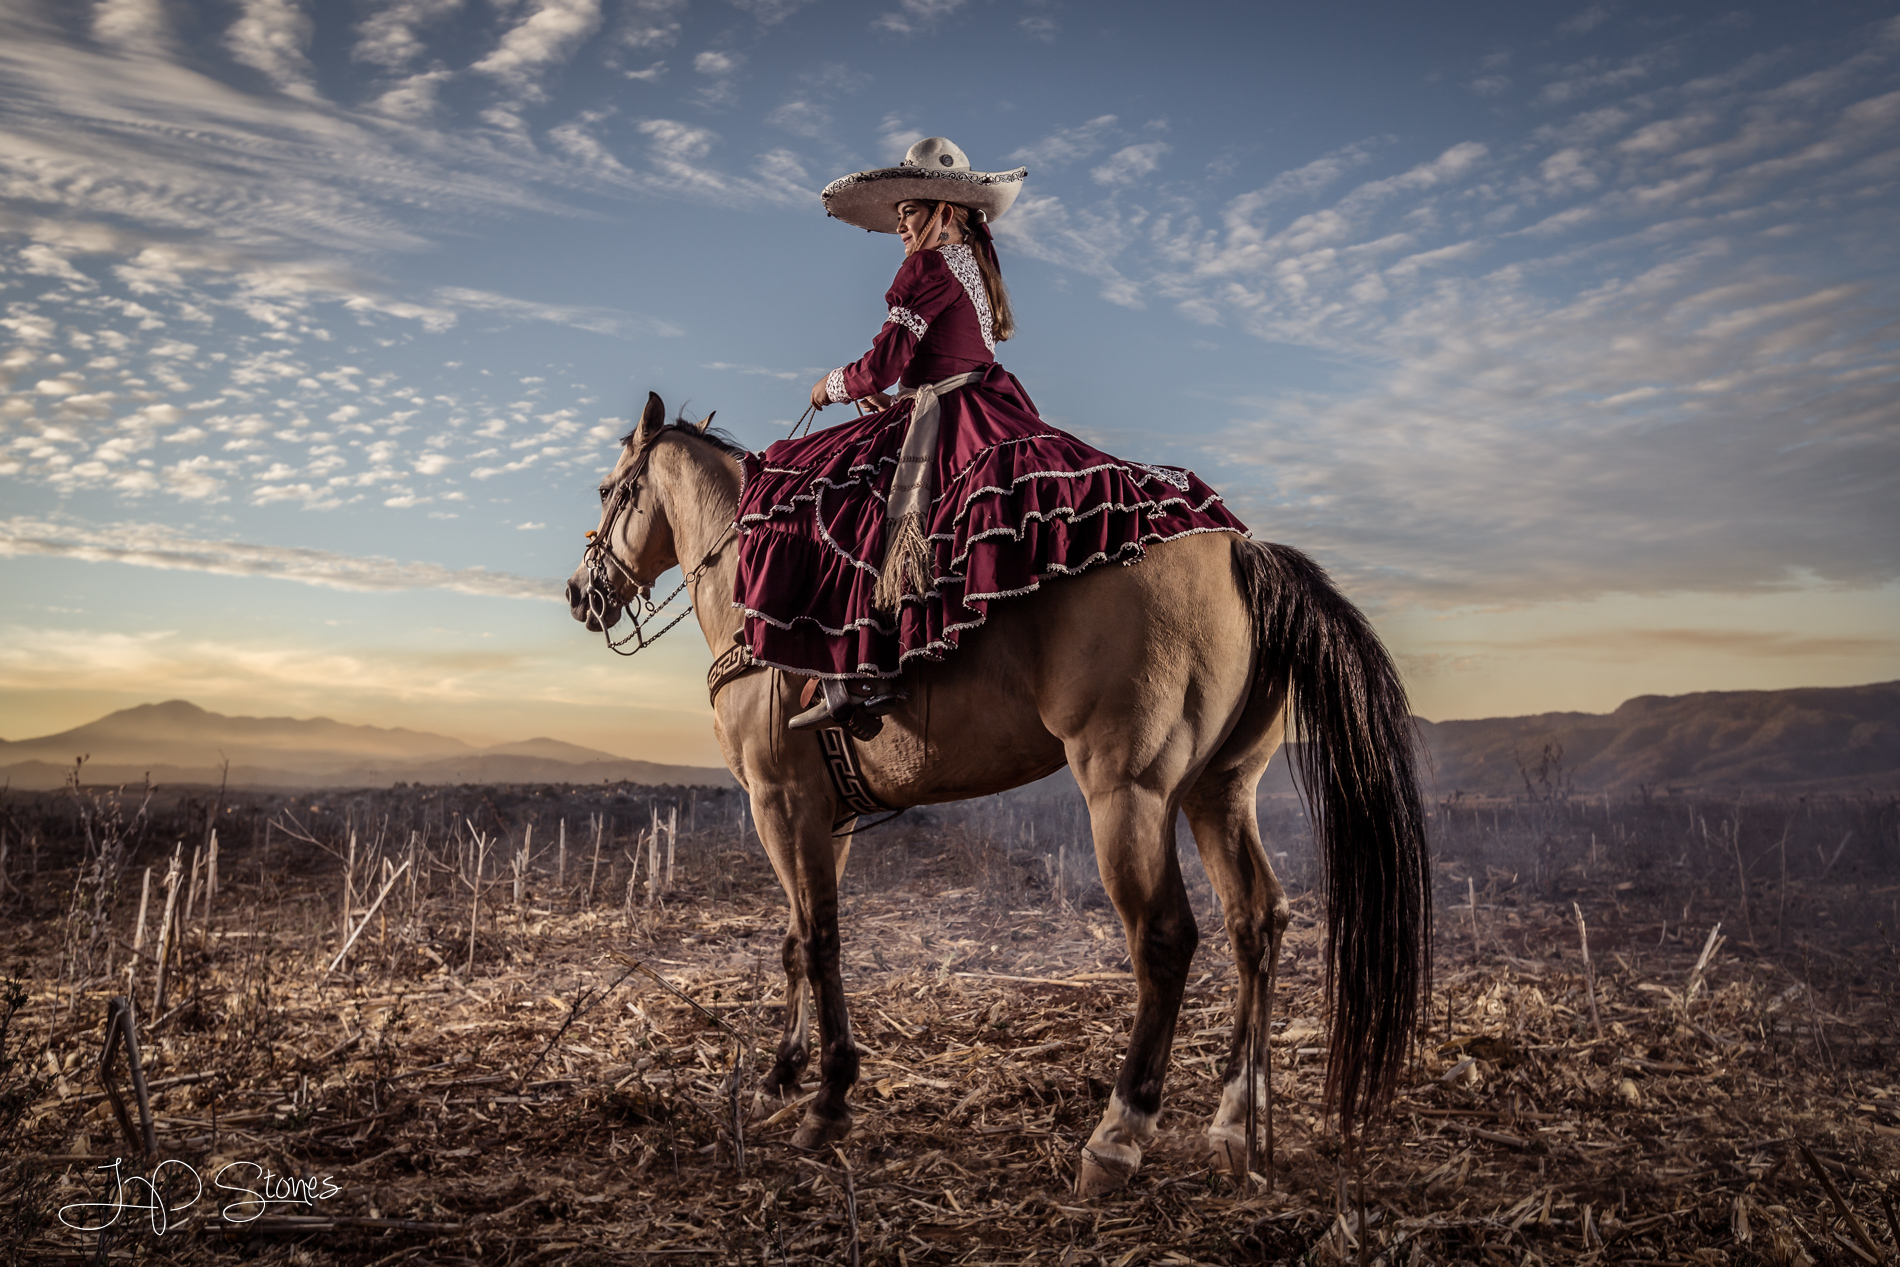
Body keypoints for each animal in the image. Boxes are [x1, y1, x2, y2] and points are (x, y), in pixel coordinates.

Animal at [562, 397, 1428, 1200]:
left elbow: (820, 940)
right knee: (1257, 919)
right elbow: (796, 941)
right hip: (1220, 790)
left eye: (609, 488)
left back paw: (1119, 1132)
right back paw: (1234, 1121)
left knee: (1166, 937)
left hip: (1130, 791)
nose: (579, 591)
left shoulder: (781, 803)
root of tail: (1241, 551)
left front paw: (829, 1097)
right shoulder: (823, 816)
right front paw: (783, 1074)